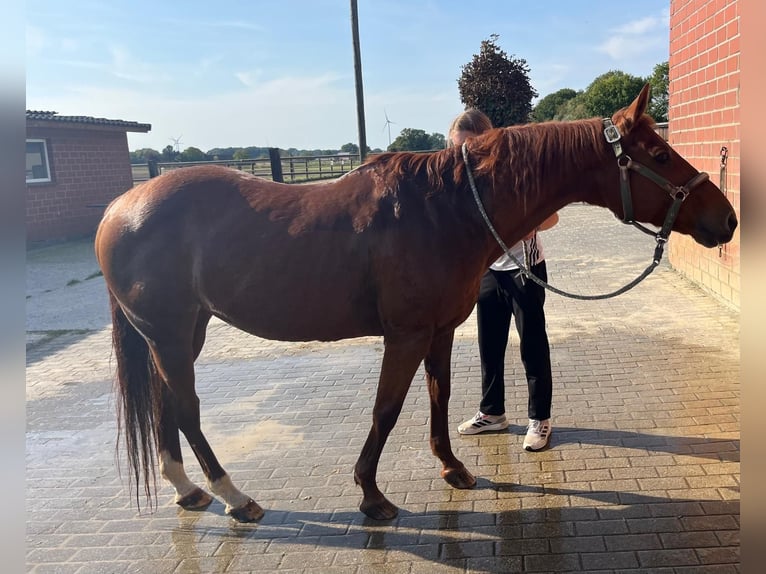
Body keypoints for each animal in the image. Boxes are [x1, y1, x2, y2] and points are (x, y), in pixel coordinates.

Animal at [95, 84, 736, 522]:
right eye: (658, 153)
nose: (727, 219)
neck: (445, 209)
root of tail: (119, 208)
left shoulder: (441, 330)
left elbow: (438, 396)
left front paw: (452, 468)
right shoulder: (403, 336)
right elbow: (386, 408)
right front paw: (372, 495)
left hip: (183, 334)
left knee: (165, 407)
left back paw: (189, 490)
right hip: (171, 335)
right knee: (187, 410)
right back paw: (235, 497)